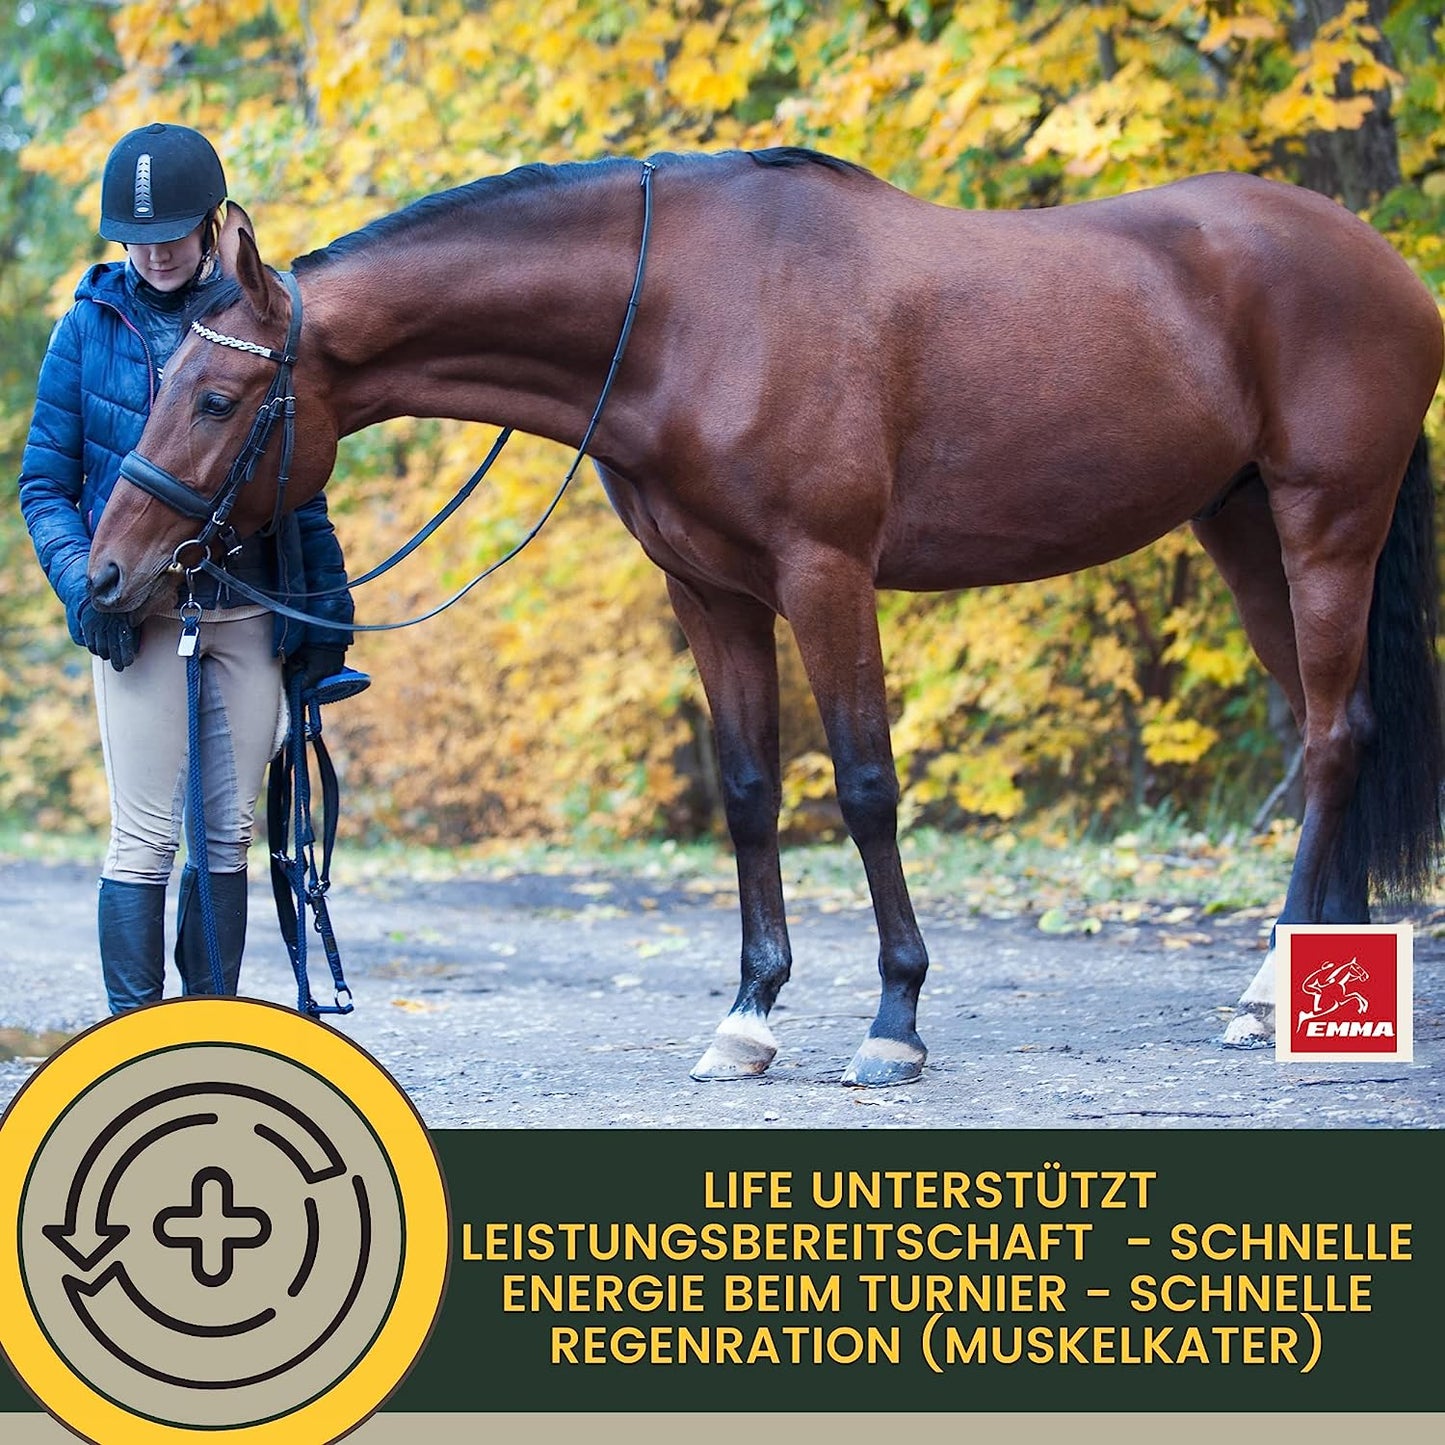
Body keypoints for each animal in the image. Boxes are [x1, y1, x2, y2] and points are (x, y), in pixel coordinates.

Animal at [86, 147, 1445, 1087]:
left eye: (214, 397)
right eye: (157, 380)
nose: (108, 574)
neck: (682, 312)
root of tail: (1381, 262)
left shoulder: (824, 574)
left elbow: (862, 784)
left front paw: (894, 1021)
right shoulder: (713, 592)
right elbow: (748, 789)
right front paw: (747, 1018)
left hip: (1325, 524)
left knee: (1330, 739)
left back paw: (1264, 992)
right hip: (1245, 534)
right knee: (1337, 730)